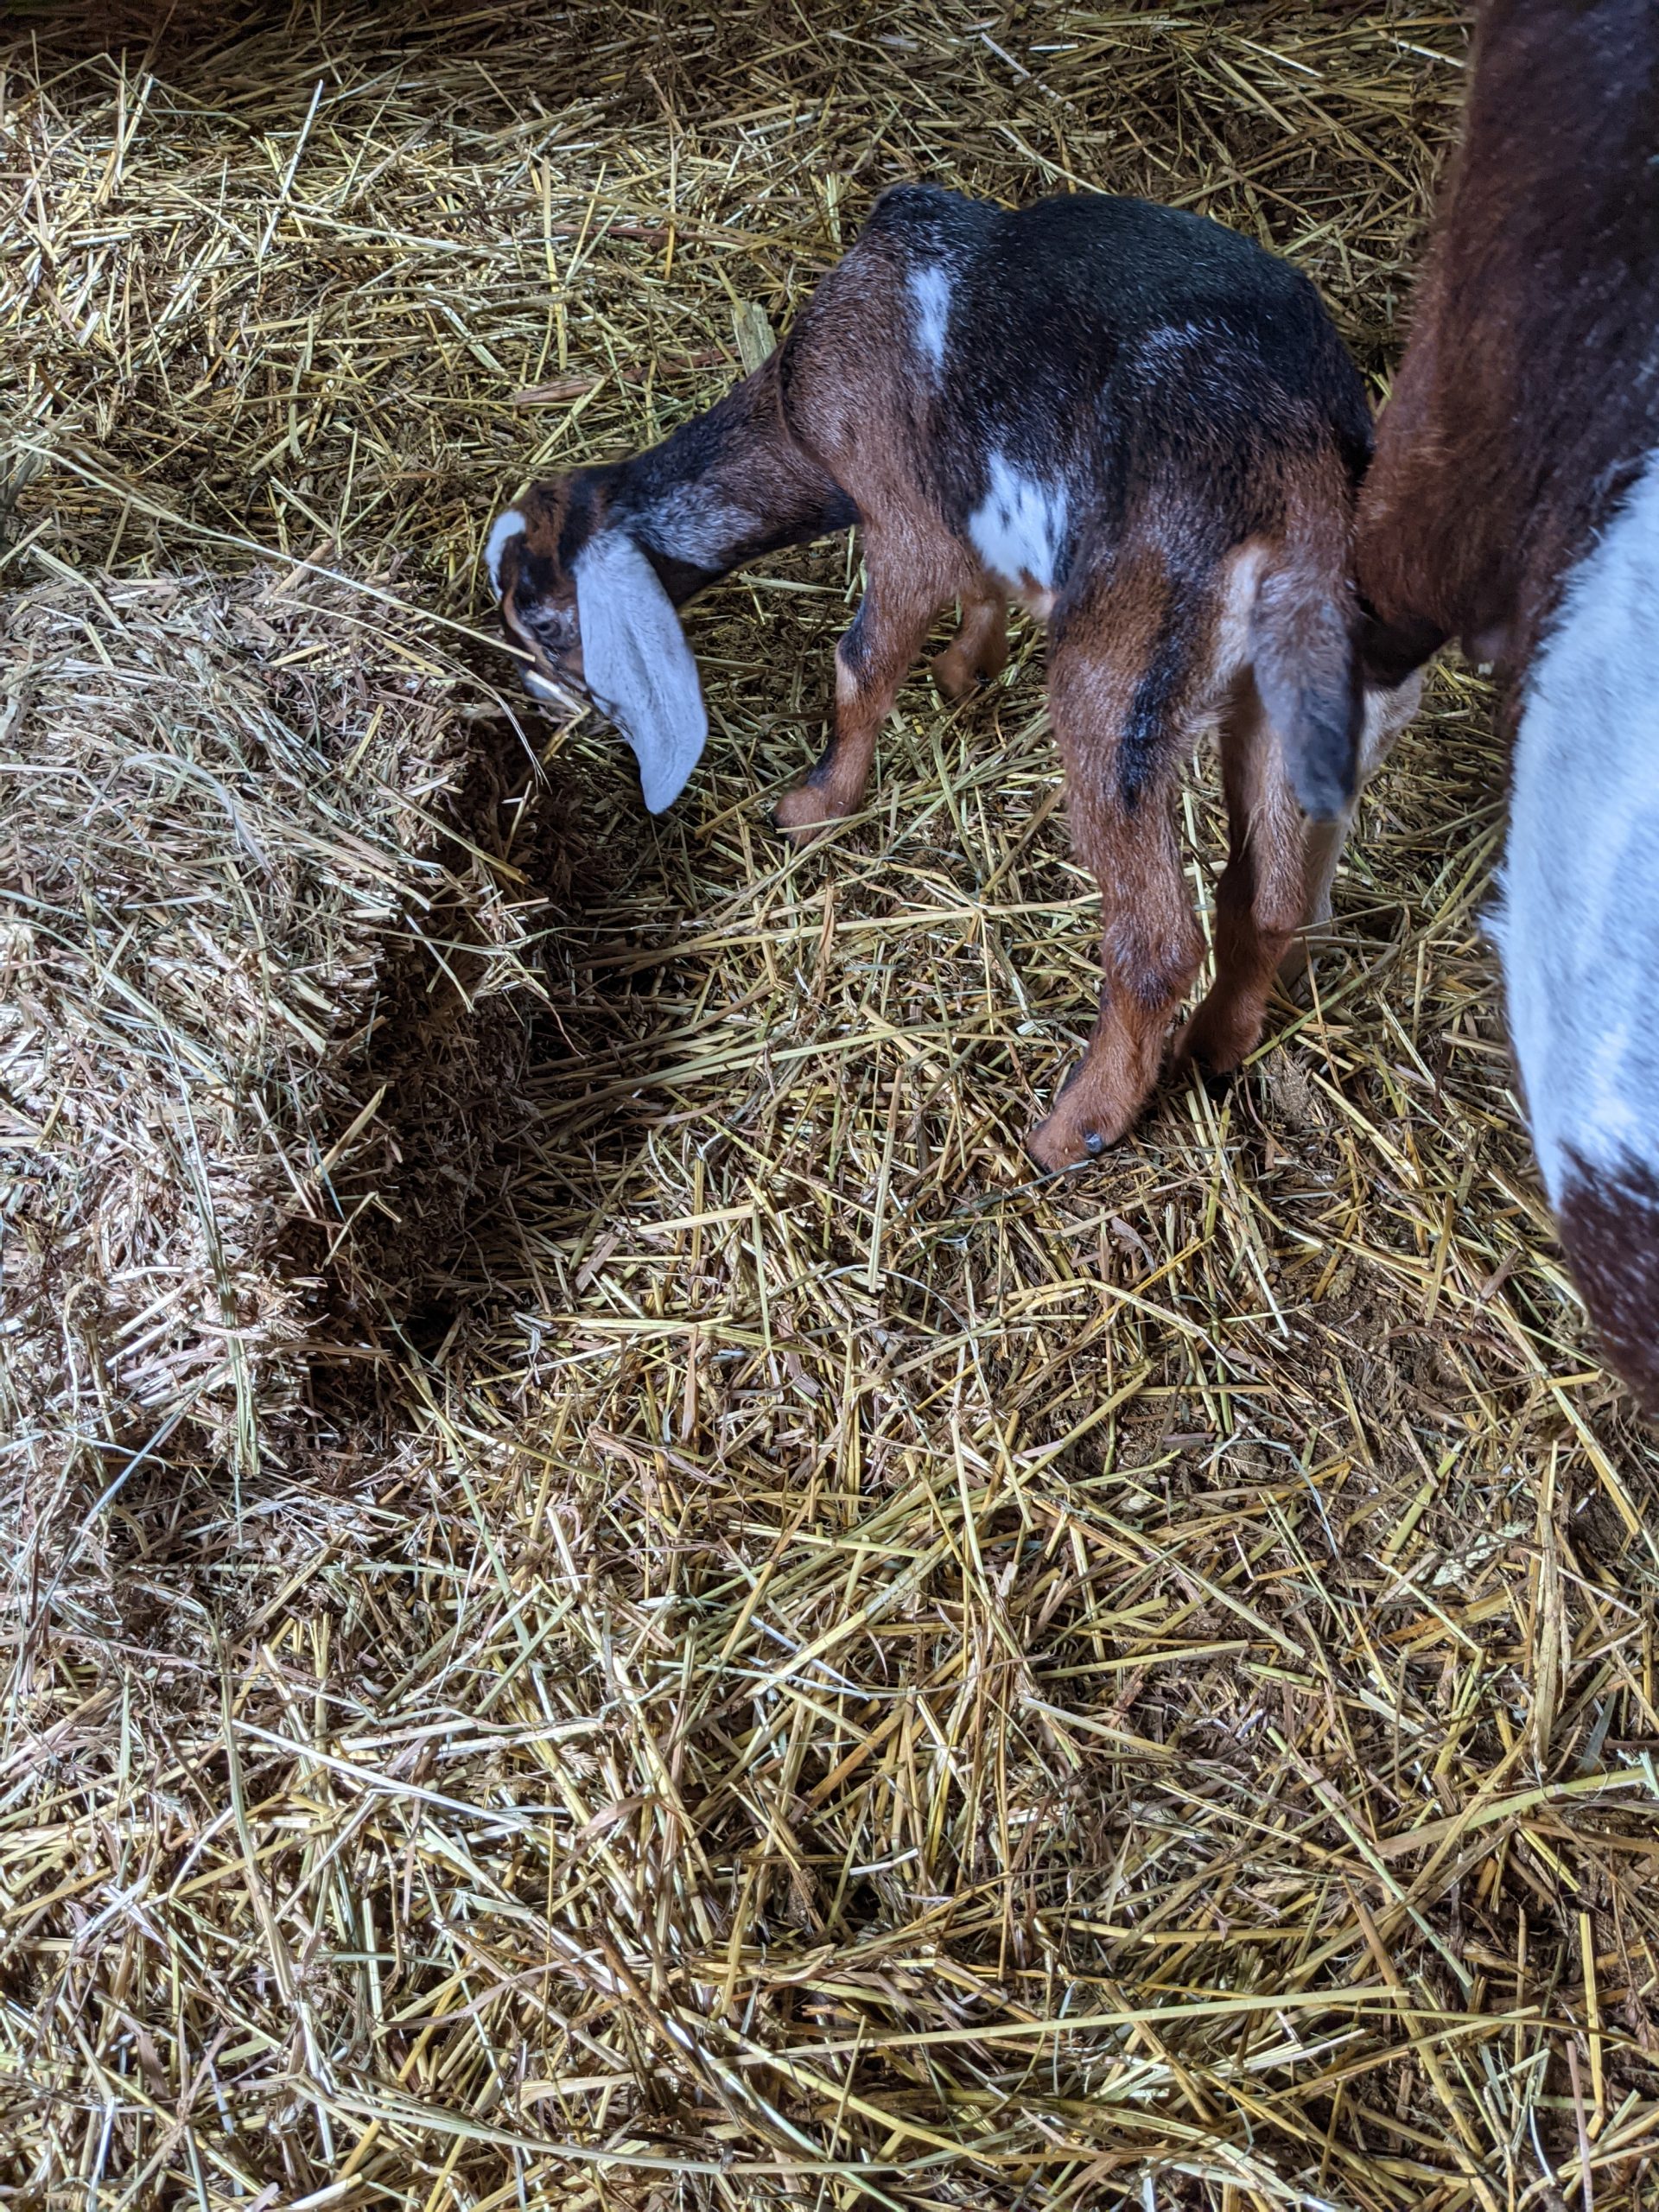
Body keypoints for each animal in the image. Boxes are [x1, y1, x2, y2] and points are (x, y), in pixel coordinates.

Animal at [491, 186, 1415, 1176]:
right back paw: (1215, 1046)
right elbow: (979, 588)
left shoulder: (904, 519)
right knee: (1272, 900)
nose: (541, 703)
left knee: (1160, 938)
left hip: (1121, 675)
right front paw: (966, 668)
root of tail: (1299, 489)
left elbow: (859, 667)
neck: (799, 404)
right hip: (1293, 702)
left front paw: (815, 806)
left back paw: (1074, 1126)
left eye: (544, 620)